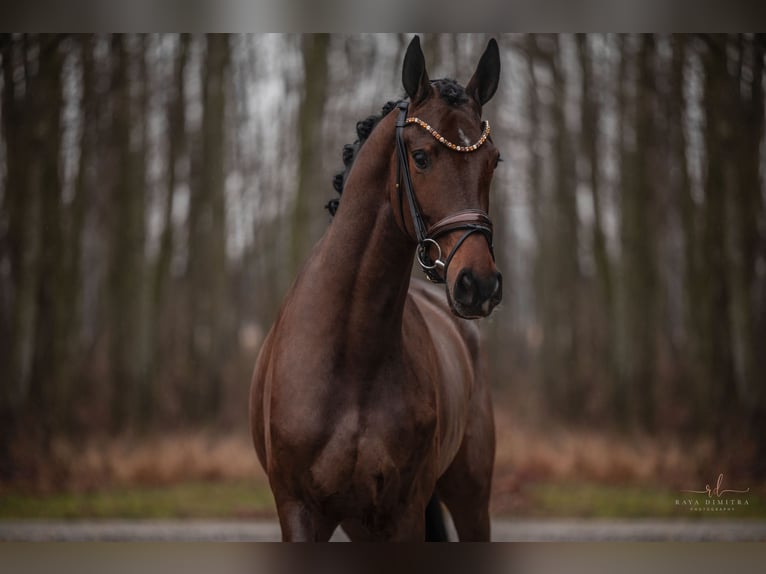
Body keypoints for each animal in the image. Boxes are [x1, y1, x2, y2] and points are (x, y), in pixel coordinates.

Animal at [250, 37, 504, 544]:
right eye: (422, 157)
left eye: (493, 161)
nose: (478, 284)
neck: (351, 354)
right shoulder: (299, 510)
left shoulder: (402, 512)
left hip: (469, 497)